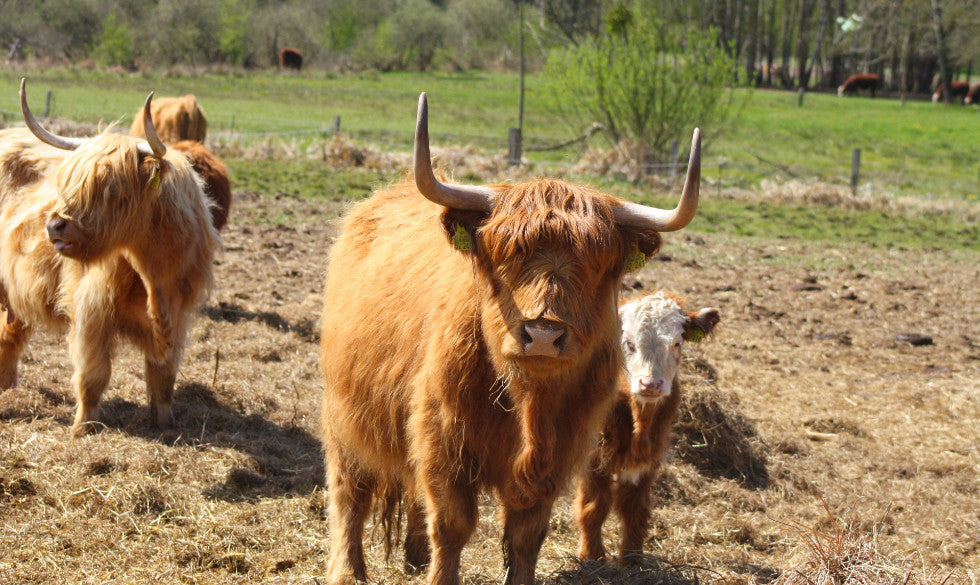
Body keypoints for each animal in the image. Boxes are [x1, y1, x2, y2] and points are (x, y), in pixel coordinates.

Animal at [1, 82, 220, 438]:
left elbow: (163, 376)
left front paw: (165, 424)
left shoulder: (179, 312)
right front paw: (82, 429)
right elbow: (94, 375)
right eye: (67, 180)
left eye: (113, 188)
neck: (153, 273)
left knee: (11, 332)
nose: (53, 225)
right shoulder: (93, 309)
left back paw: (8, 386)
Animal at [322, 91, 704, 584]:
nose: (542, 333)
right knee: (350, 491)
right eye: (505, 254)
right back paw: (348, 570)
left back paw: (414, 557)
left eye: (599, 264)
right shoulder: (443, 439)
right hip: (344, 411)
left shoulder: (559, 454)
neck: (529, 405)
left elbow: (526, 536)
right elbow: (452, 524)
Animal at [576, 292, 720, 560]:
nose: (650, 384)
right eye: (628, 342)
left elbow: (634, 509)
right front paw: (592, 555)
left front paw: (632, 558)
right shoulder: (593, 457)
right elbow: (595, 506)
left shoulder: (649, 460)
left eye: (677, 343)